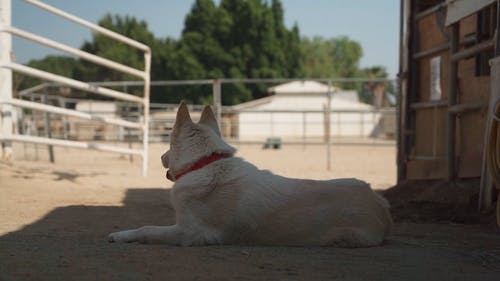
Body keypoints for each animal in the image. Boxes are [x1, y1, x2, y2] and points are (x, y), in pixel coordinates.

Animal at [107, 101, 392, 246]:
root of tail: (380, 202)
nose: (161, 157)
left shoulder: (192, 233)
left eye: (168, 144)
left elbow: (147, 228)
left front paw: (121, 235)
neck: (205, 164)